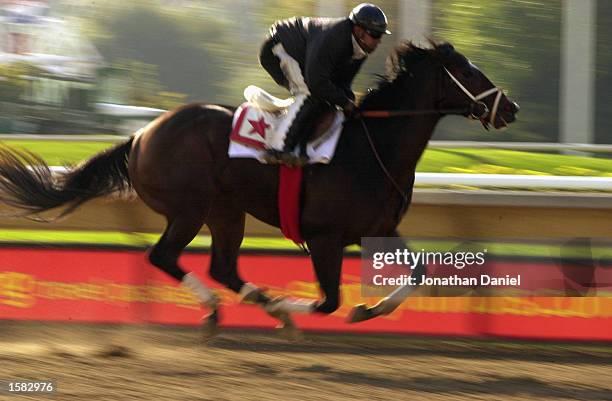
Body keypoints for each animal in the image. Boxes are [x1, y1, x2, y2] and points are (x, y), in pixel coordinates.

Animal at [0, 42, 520, 332]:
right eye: (468, 72)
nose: (510, 108)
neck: (373, 144)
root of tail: (142, 134)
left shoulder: (378, 230)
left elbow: (418, 272)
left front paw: (366, 310)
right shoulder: (325, 237)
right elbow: (328, 301)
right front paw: (298, 308)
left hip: (227, 212)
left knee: (223, 267)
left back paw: (253, 305)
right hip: (190, 208)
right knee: (163, 257)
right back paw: (231, 309)